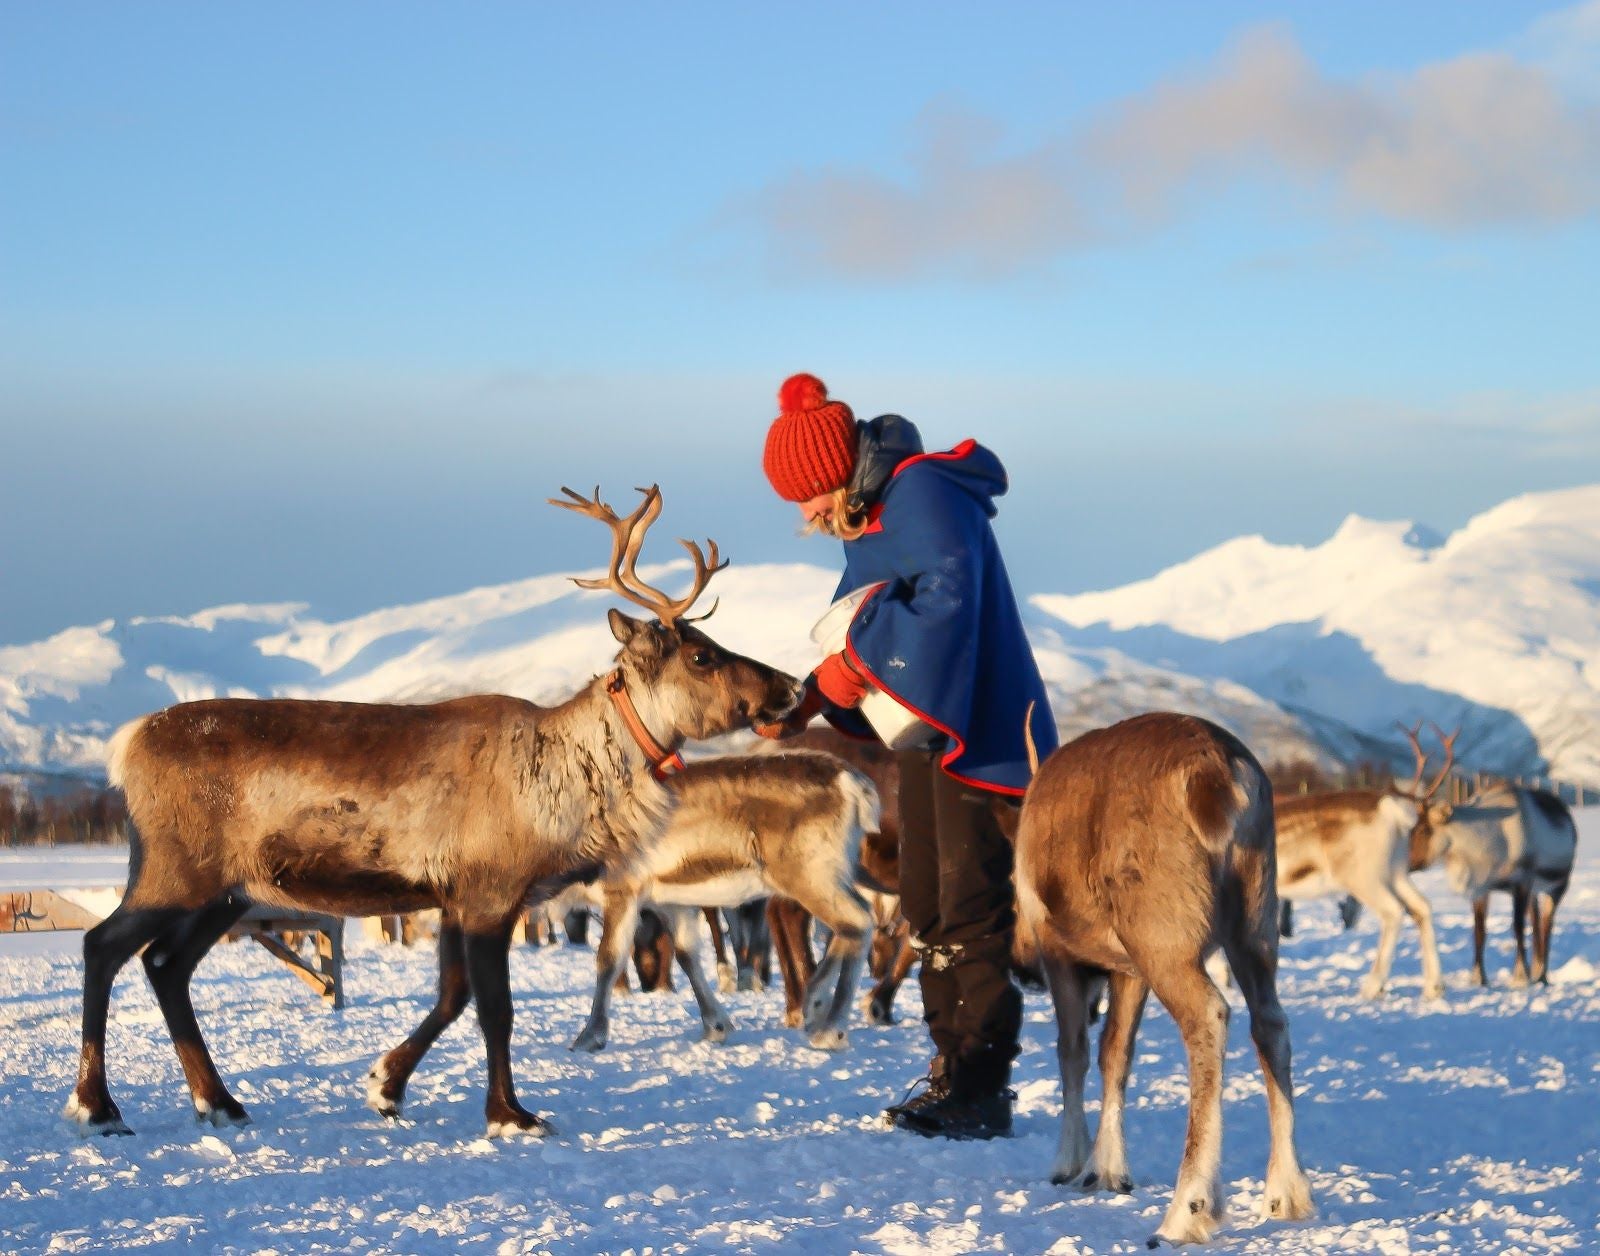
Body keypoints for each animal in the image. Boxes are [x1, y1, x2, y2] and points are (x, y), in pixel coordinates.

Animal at [71, 484, 804, 1139]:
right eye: (703, 655)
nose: (792, 687)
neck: (568, 773)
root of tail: (124, 743)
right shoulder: (491, 892)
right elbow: (494, 1009)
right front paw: (510, 1115)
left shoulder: (453, 897)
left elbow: (452, 997)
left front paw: (384, 1086)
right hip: (174, 871)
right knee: (103, 945)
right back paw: (98, 1107)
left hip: (229, 891)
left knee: (165, 966)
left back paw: (219, 1102)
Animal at [1014, 712, 1313, 1247]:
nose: (1021, 966)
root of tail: (1222, 775)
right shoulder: (1127, 966)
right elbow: (1116, 1054)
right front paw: (1107, 1169)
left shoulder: (1058, 948)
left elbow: (1073, 1052)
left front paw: (1070, 1160)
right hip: (1254, 918)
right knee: (1271, 1024)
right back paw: (1287, 1190)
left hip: (1163, 936)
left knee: (1209, 1016)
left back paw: (1189, 1208)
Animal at [1270, 724, 1451, 1001]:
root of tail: (1392, 811)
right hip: (1395, 871)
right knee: (1421, 906)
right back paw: (1433, 986)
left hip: (1362, 876)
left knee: (1393, 910)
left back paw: (1373, 985)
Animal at [1403, 726, 1579, 986]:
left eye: (1423, 829)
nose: (1404, 862)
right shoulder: (1481, 887)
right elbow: (1479, 930)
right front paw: (1478, 978)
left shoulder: (1521, 881)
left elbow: (1516, 927)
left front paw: (1520, 976)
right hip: (1535, 891)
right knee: (1536, 921)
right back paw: (1537, 971)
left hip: (1557, 884)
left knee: (1547, 924)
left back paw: (1542, 975)